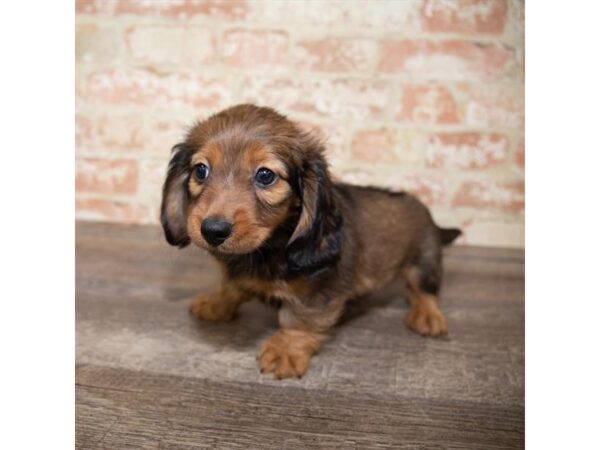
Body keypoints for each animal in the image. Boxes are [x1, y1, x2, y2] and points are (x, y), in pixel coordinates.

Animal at [159, 104, 460, 380]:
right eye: (201, 170)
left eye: (265, 175)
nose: (212, 230)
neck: (268, 248)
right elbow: (233, 285)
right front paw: (218, 302)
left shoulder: (318, 290)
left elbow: (298, 319)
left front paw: (287, 349)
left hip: (425, 261)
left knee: (423, 291)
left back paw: (428, 315)